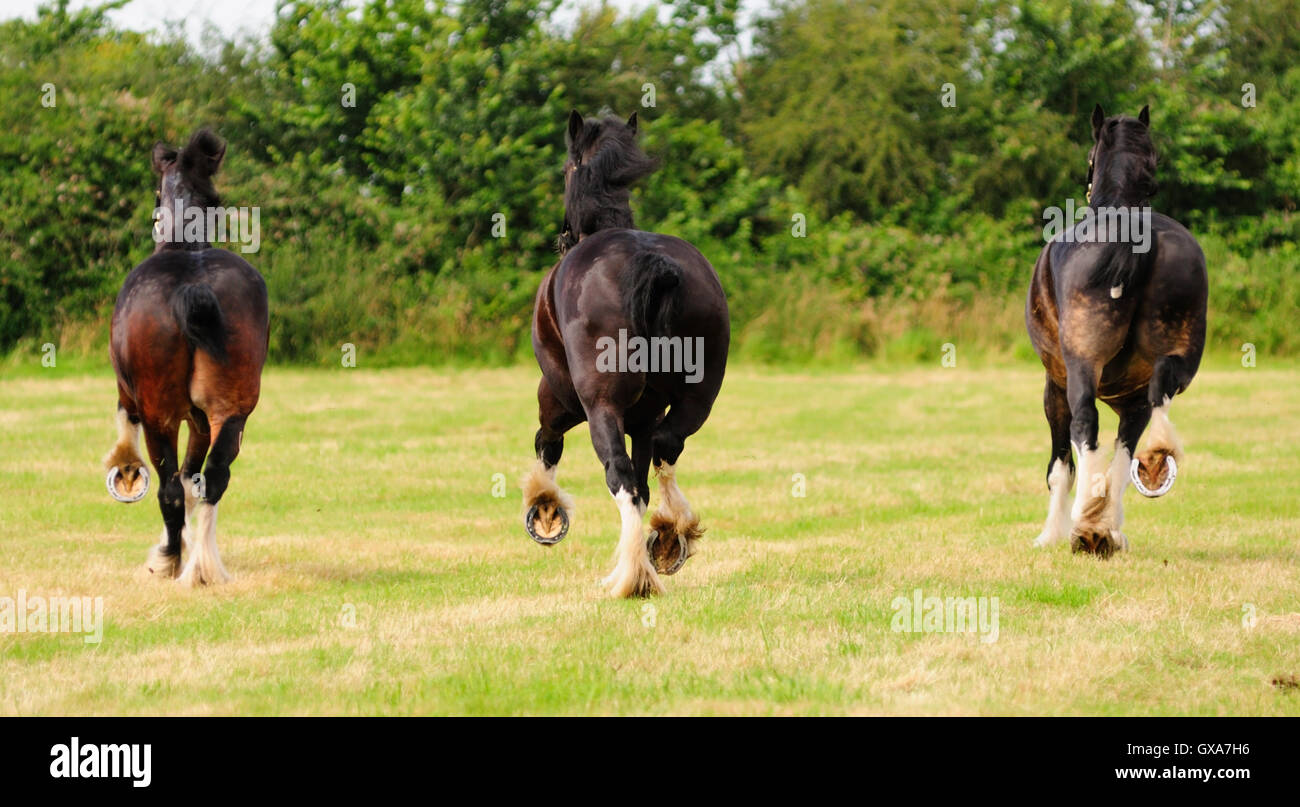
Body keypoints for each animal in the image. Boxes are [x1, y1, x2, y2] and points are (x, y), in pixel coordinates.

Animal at [103, 128, 269, 586]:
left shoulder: (132, 397)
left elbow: (129, 435)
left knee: (170, 489)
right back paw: (205, 567)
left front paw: (125, 470)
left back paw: (169, 561)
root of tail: (196, 286)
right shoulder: (199, 419)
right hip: (232, 411)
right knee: (212, 478)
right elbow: (196, 479)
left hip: (159, 413)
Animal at [521, 110, 730, 597]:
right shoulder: (644, 420)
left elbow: (546, 444)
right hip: (697, 399)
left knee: (620, 477)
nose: (561, 237)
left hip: (600, 407)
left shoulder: (560, 401)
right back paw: (670, 536)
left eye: (566, 168)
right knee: (666, 449)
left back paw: (631, 576)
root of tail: (655, 264)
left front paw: (545, 510)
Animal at [1026, 104, 1207, 556]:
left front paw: (1052, 534)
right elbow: (1121, 460)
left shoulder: (1054, 385)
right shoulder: (1132, 403)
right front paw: (1109, 526)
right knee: (1155, 405)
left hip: (1079, 369)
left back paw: (1083, 526)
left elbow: (1061, 465)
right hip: (1176, 360)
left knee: (1084, 426)